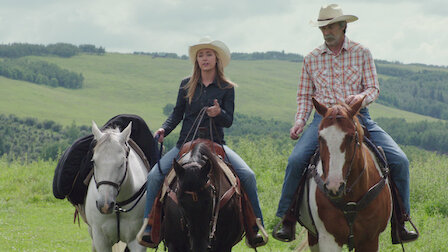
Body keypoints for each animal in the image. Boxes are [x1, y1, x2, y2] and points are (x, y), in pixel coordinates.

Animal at [82, 121, 147, 251]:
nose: (105, 205)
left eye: (122, 163)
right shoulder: (101, 240)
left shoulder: (137, 242)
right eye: (93, 162)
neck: (118, 206)